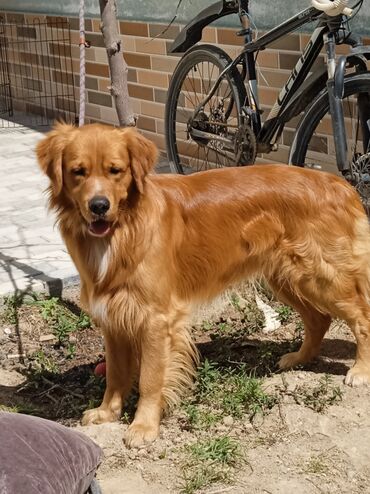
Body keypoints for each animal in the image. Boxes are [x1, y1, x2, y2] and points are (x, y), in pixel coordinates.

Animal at [36, 122, 370, 448]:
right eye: (78, 171)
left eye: (115, 170)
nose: (99, 206)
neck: (125, 229)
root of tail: (341, 184)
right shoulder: (114, 316)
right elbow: (116, 374)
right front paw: (107, 412)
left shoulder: (156, 319)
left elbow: (150, 378)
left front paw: (144, 426)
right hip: (287, 277)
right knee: (319, 319)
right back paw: (299, 358)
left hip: (323, 275)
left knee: (361, 319)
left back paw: (360, 370)